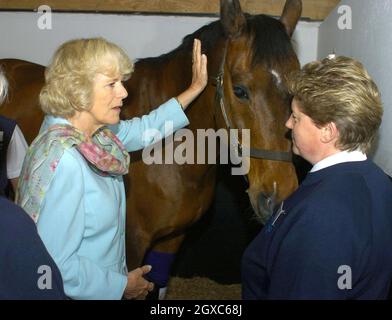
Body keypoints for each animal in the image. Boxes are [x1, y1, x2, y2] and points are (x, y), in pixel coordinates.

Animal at [0, 0, 300, 294]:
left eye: (294, 92)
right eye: (239, 90)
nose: (280, 196)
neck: (171, 153)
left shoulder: (172, 239)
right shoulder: (133, 244)